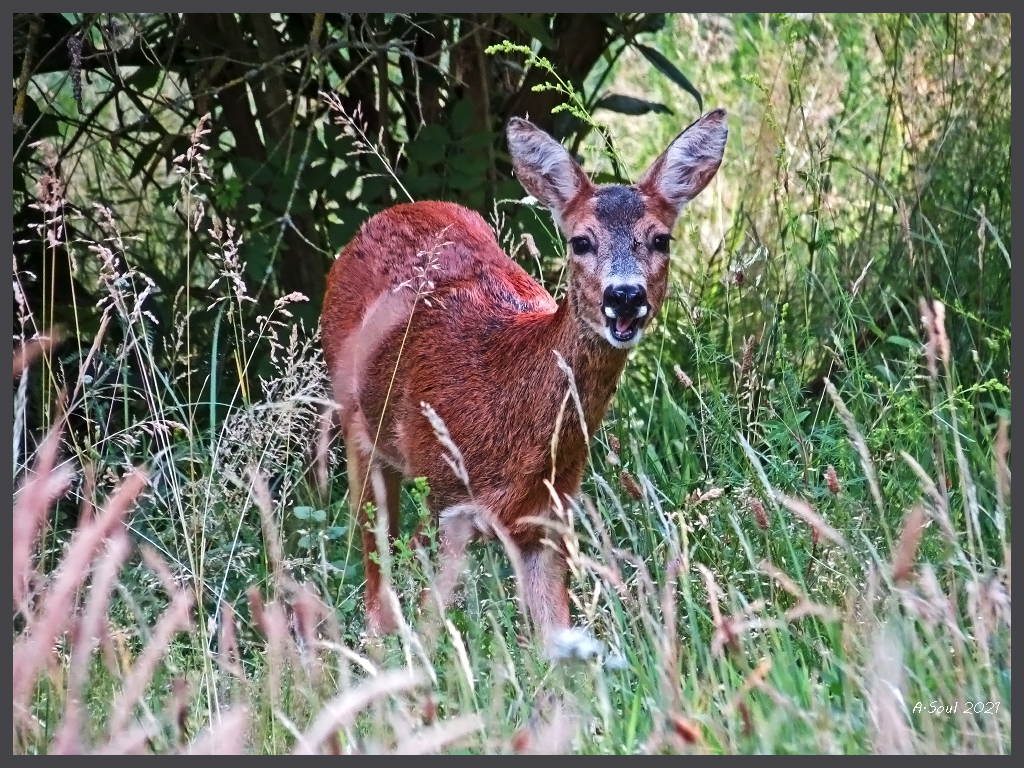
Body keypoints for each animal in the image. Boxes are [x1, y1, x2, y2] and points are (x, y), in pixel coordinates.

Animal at [321, 108, 728, 644]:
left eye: (661, 239)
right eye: (581, 241)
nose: (624, 296)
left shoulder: (548, 520)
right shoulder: (444, 500)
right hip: (358, 430)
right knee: (375, 566)